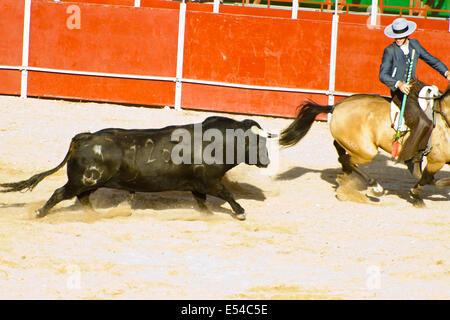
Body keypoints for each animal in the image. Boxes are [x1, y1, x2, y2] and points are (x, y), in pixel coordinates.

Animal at [1, 117, 272, 220]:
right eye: (258, 143)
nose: (267, 161)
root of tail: (86, 137)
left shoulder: (197, 185)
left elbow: (203, 202)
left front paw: (207, 215)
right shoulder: (210, 181)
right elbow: (228, 193)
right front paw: (241, 212)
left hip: (91, 181)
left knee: (82, 198)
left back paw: (95, 214)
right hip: (82, 180)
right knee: (61, 193)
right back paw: (39, 213)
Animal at [280, 80, 450, 208]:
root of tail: (336, 106)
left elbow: (429, 178)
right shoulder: (436, 160)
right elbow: (427, 178)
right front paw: (417, 196)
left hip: (351, 143)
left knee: (341, 154)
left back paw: (347, 179)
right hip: (367, 151)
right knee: (346, 160)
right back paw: (373, 187)